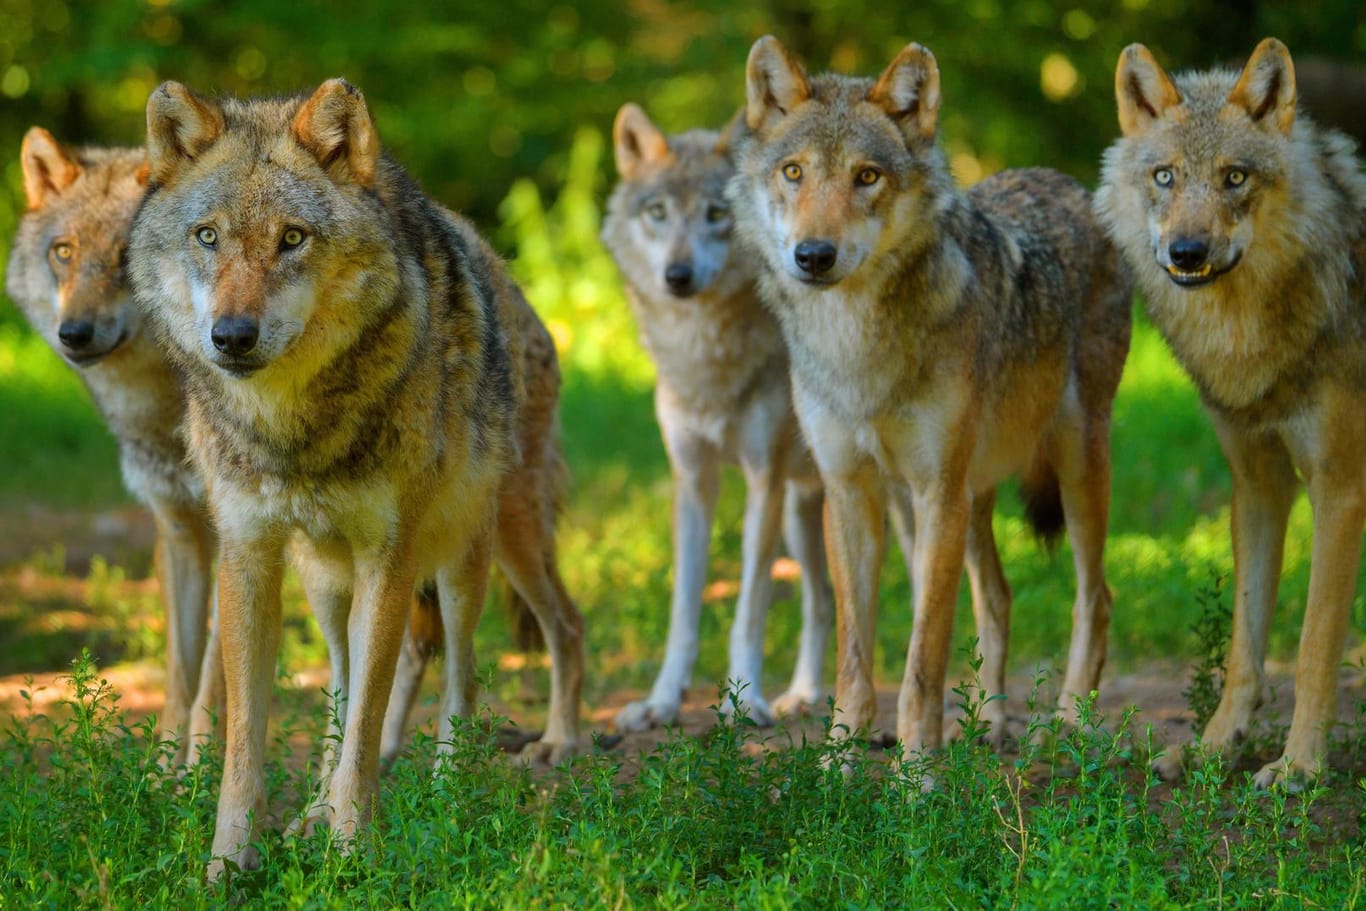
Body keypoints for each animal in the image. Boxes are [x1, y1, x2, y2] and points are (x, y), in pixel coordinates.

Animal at [4, 129, 215, 770]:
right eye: (64, 252)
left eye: (125, 254)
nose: (73, 333)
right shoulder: (178, 533)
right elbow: (179, 676)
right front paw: (165, 775)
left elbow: (215, 683)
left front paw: (199, 774)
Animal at [131, 80, 587, 874]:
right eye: (207, 237)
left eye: (292, 238)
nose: (232, 336)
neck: (295, 430)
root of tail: (519, 292)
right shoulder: (248, 556)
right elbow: (250, 739)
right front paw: (230, 865)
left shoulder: (389, 554)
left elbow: (370, 727)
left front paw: (352, 856)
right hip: (325, 581)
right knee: (354, 684)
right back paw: (311, 814)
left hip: (484, 551)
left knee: (519, 646)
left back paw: (496, 771)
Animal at [601, 101, 835, 726]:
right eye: (657, 212)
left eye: (715, 214)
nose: (677, 276)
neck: (704, 358)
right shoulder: (693, 482)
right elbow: (684, 610)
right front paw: (661, 701)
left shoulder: (763, 481)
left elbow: (749, 610)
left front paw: (745, 699)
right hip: (805, 513)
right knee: (824, 602)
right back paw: (804, 695)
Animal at [732, 35, 1136, 764]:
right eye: (795, 173)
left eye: (867, 177)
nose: (813, 255)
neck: (856, 346)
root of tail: (1064, 181)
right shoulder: (851, 491)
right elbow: (856, 655)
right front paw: (838, 763)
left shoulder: (936, 491)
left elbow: (923, 659)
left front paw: (917, 774)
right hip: (954, 503)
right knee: (998, 595)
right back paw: (989, 725)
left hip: (1073, 468)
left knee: (1096, 596)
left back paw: (1067, 722)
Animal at [1092, 39, 1366, 786]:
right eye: (1164, 176)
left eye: (1234, 177)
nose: (1186, 252)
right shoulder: (1259, 484)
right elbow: (1245, 648)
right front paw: (1216, 748)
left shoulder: (1339, 489)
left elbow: (1313, 646)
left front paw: (1300, 766)